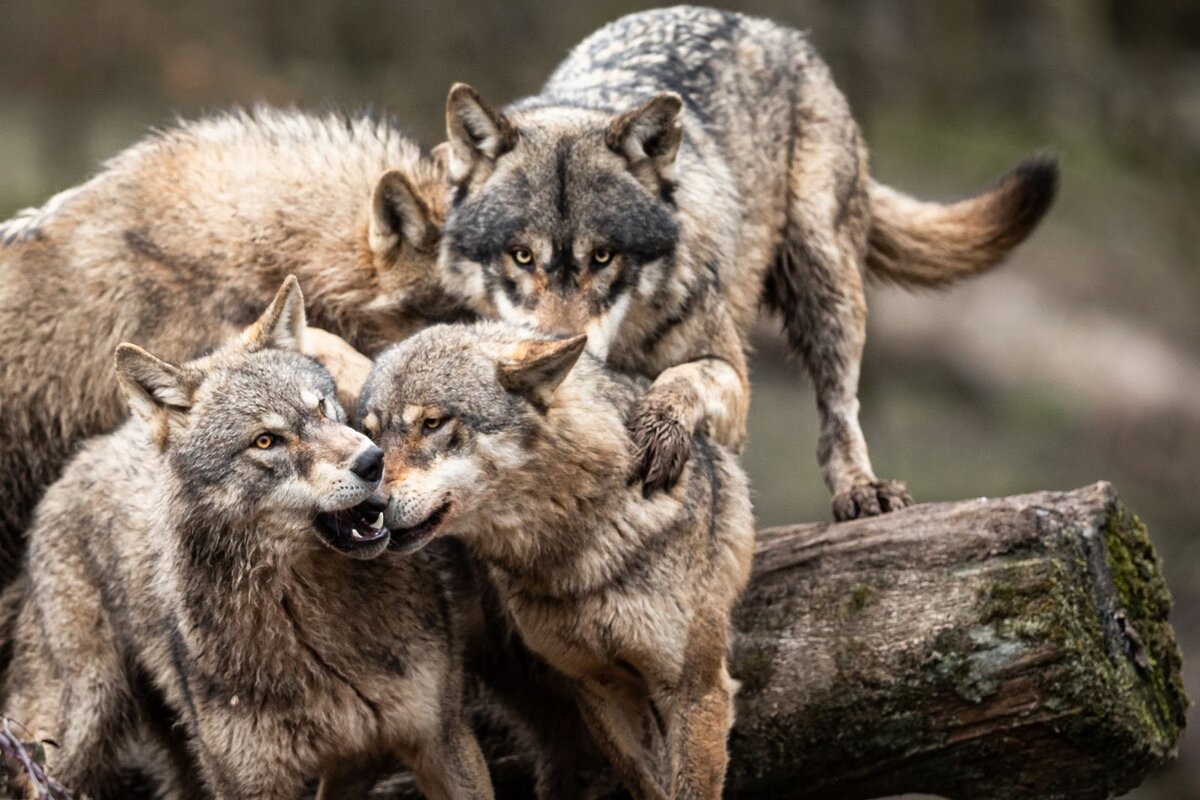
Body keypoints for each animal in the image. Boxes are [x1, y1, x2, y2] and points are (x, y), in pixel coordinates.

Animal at [1, 280, 492, 800]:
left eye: (322, 408)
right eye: (265, 441)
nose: (373, 460)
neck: (311, 631)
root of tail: (77, 460)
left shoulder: (438, 739)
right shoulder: (251, 782)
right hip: (80, 725)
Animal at [355, 321, 753, 796]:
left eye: (432, 423)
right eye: (371, 436)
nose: (366, 508)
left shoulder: (696, 692)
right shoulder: (597, 685)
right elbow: (645, 784)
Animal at [436, 4, 1056, 520]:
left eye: (604, 256)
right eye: (521, 256)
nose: (559, 357)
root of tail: (767, 26)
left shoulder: (732, 379)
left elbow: (682, 379)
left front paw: (658, 431)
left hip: (823, 279)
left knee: (840, 410)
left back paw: (863, 490)